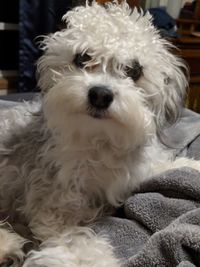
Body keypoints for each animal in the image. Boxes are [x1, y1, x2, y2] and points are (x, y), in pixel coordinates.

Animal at [0, 1, 200, 266]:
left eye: (134, 70)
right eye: (82, 58)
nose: (100, 94)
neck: (100, 140)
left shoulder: (136, 174)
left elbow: (166, 167)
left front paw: (193, 166)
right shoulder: (55, 209)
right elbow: (79, 244)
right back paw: (7, 245)